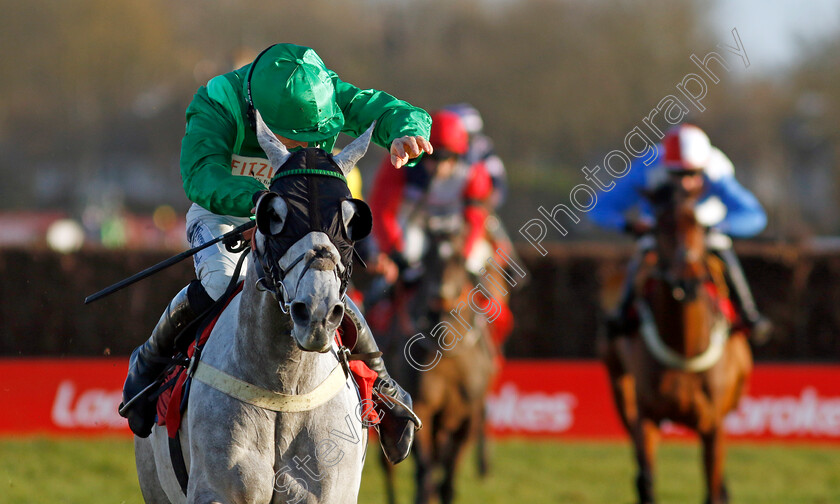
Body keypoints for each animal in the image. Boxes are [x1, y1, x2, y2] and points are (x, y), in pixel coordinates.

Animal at [604, 178, 756, 504]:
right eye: (659, 226)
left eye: (697, 223)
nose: (686, 280)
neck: (684, 347)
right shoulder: (647, 417)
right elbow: (648, 480)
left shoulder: (713, 425)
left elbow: (713, 488)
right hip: (620, 387)